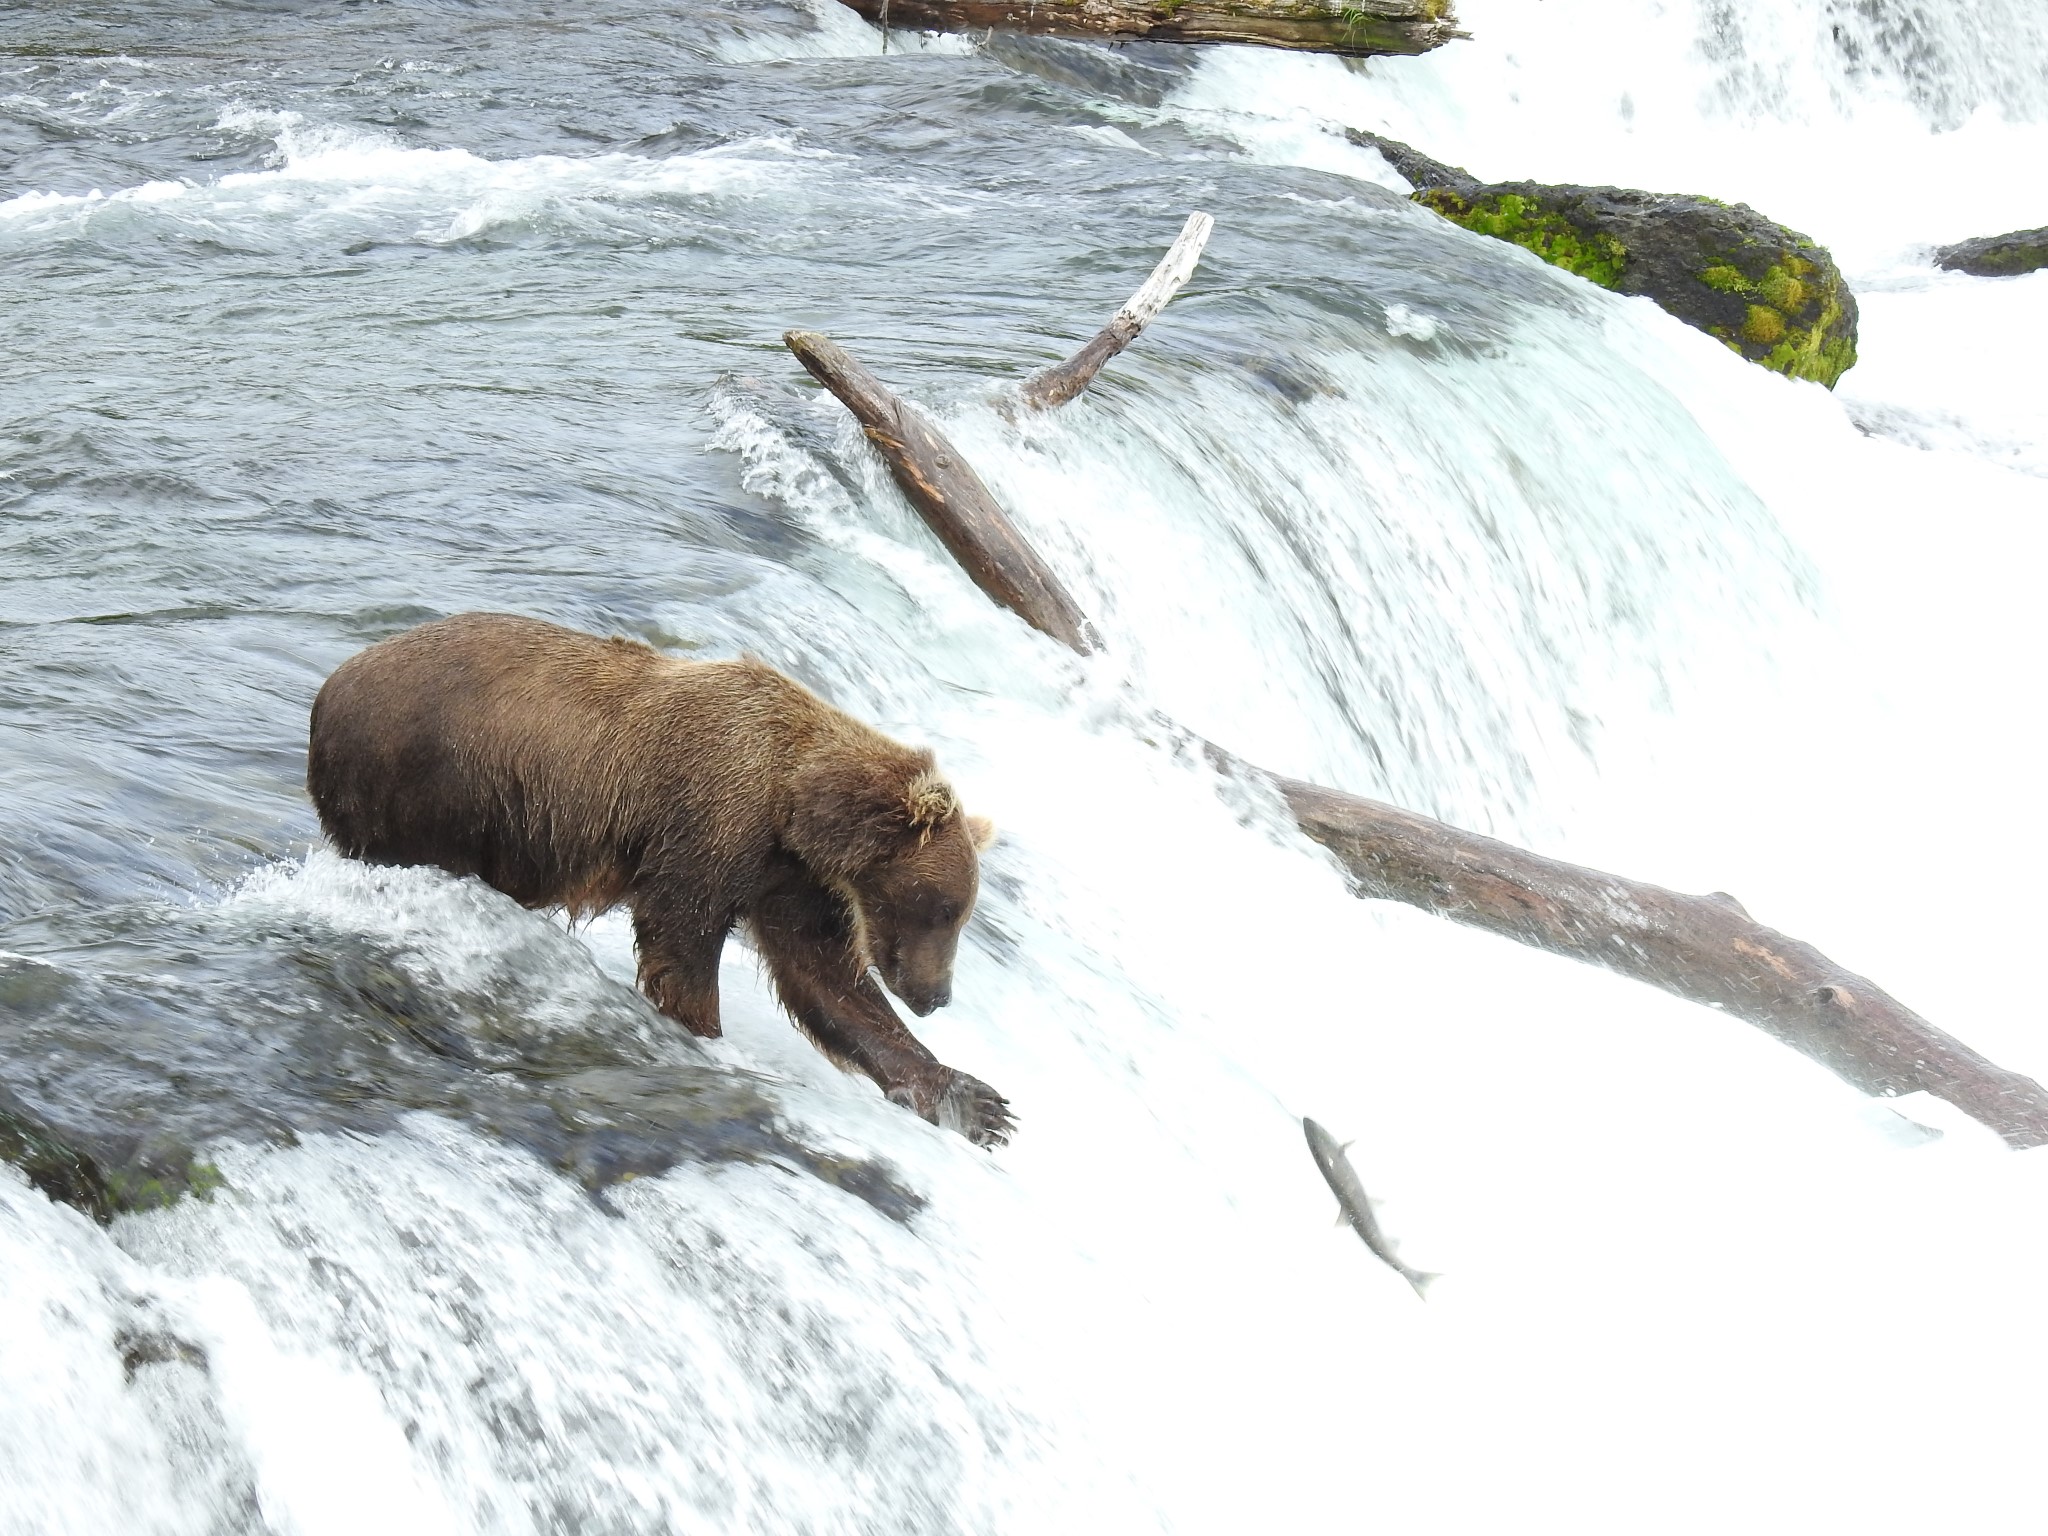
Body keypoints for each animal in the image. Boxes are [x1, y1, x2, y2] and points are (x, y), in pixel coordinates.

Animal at [303, 606, 1007, 1146]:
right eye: (943, 908)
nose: (936, 995)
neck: (796, 806)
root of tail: (330, 687)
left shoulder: (789, 880)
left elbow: (828, 984)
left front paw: (974, 1102)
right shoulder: (712, 822)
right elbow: (683, 937)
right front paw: (704, 1033)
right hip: (433, 784)